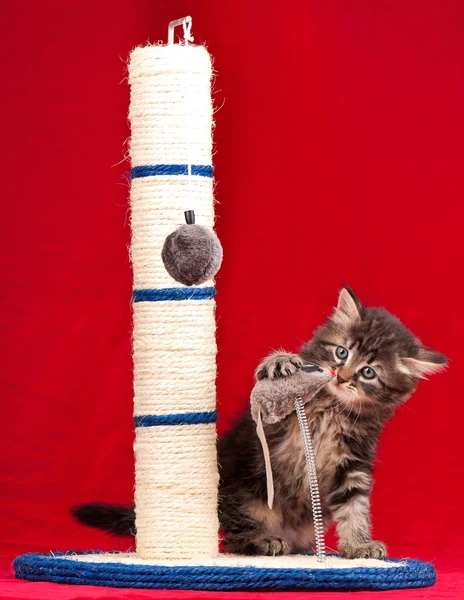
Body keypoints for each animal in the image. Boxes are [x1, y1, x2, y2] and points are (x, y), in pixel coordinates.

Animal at [74, 288, 448, 560]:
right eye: (341, 353)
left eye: (368, 373)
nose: (340, 376)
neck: (332, 410)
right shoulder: (270, 431)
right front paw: (279, 362)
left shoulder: (354, 462)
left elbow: (355, 506)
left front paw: (358, 545)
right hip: (243, 490)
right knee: (234, 538)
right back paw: (263, 541)